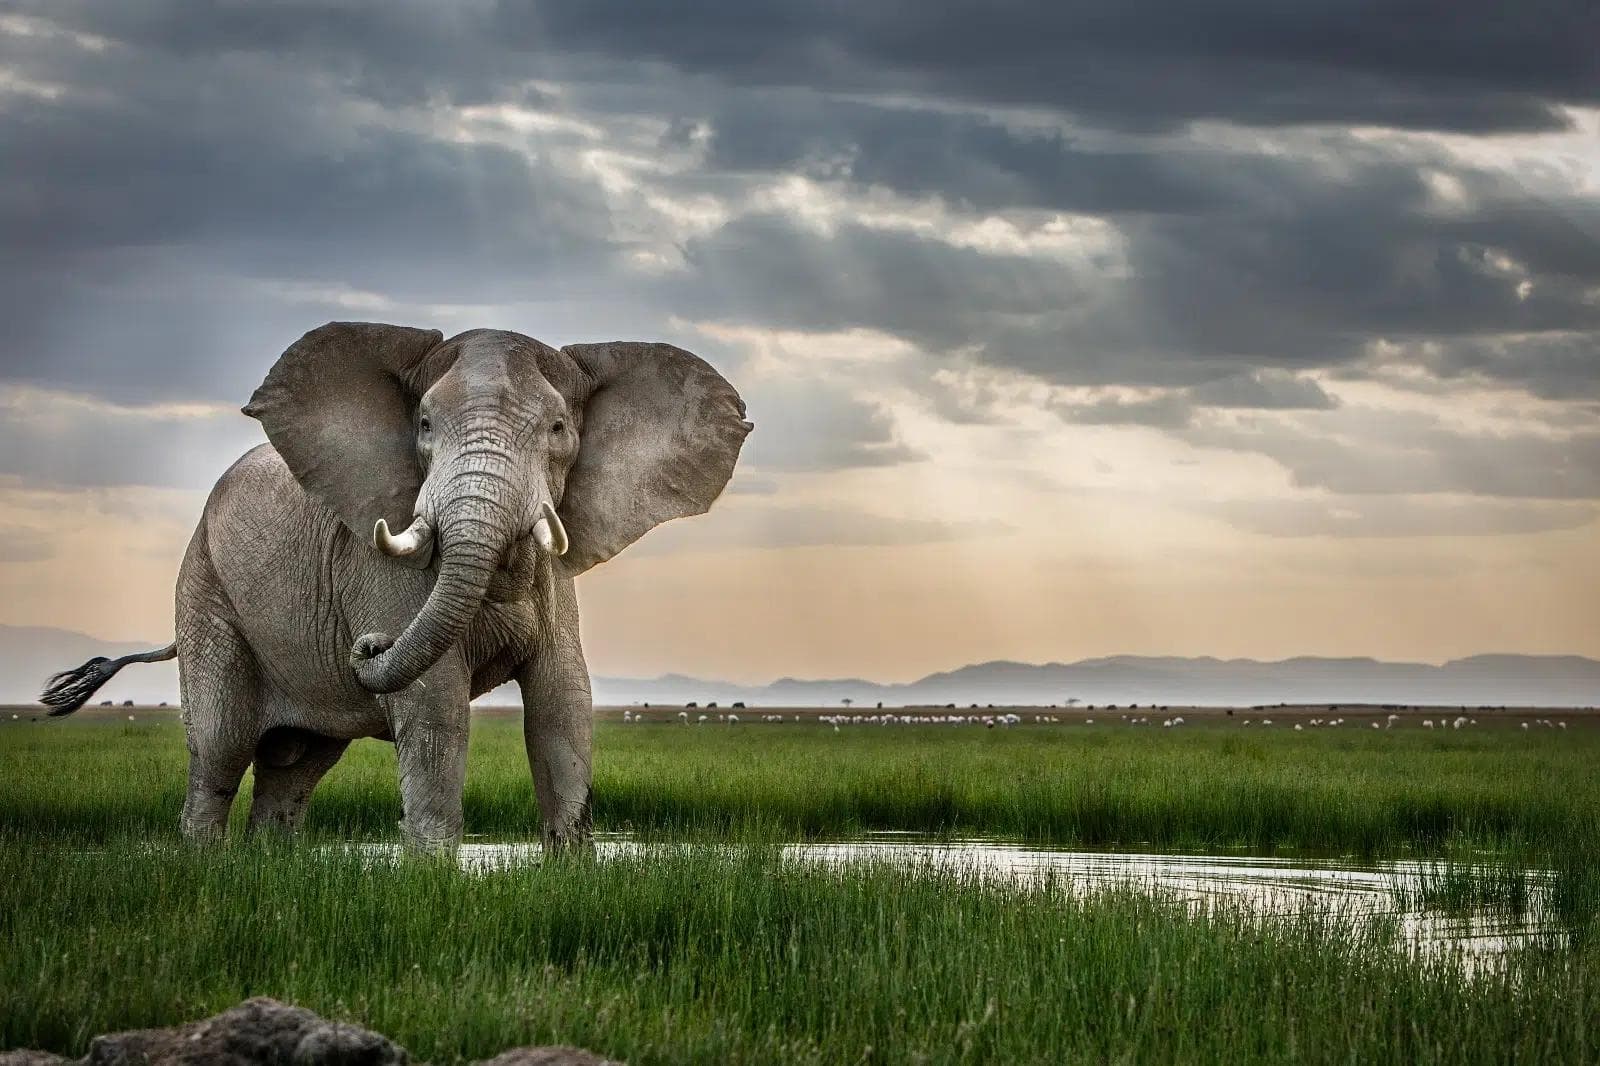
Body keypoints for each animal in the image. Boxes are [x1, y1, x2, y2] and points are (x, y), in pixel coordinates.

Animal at [40, 322, 751, 851]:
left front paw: (573, 875)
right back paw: (203, 868)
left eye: (557, 431)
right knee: (219, 749)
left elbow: (563, 707)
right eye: (426, 426)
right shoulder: (380, 572)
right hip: (205, 589)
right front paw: (434, 880)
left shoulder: (556, 588)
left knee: (294, 767)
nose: (368, 644)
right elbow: (435, 710)